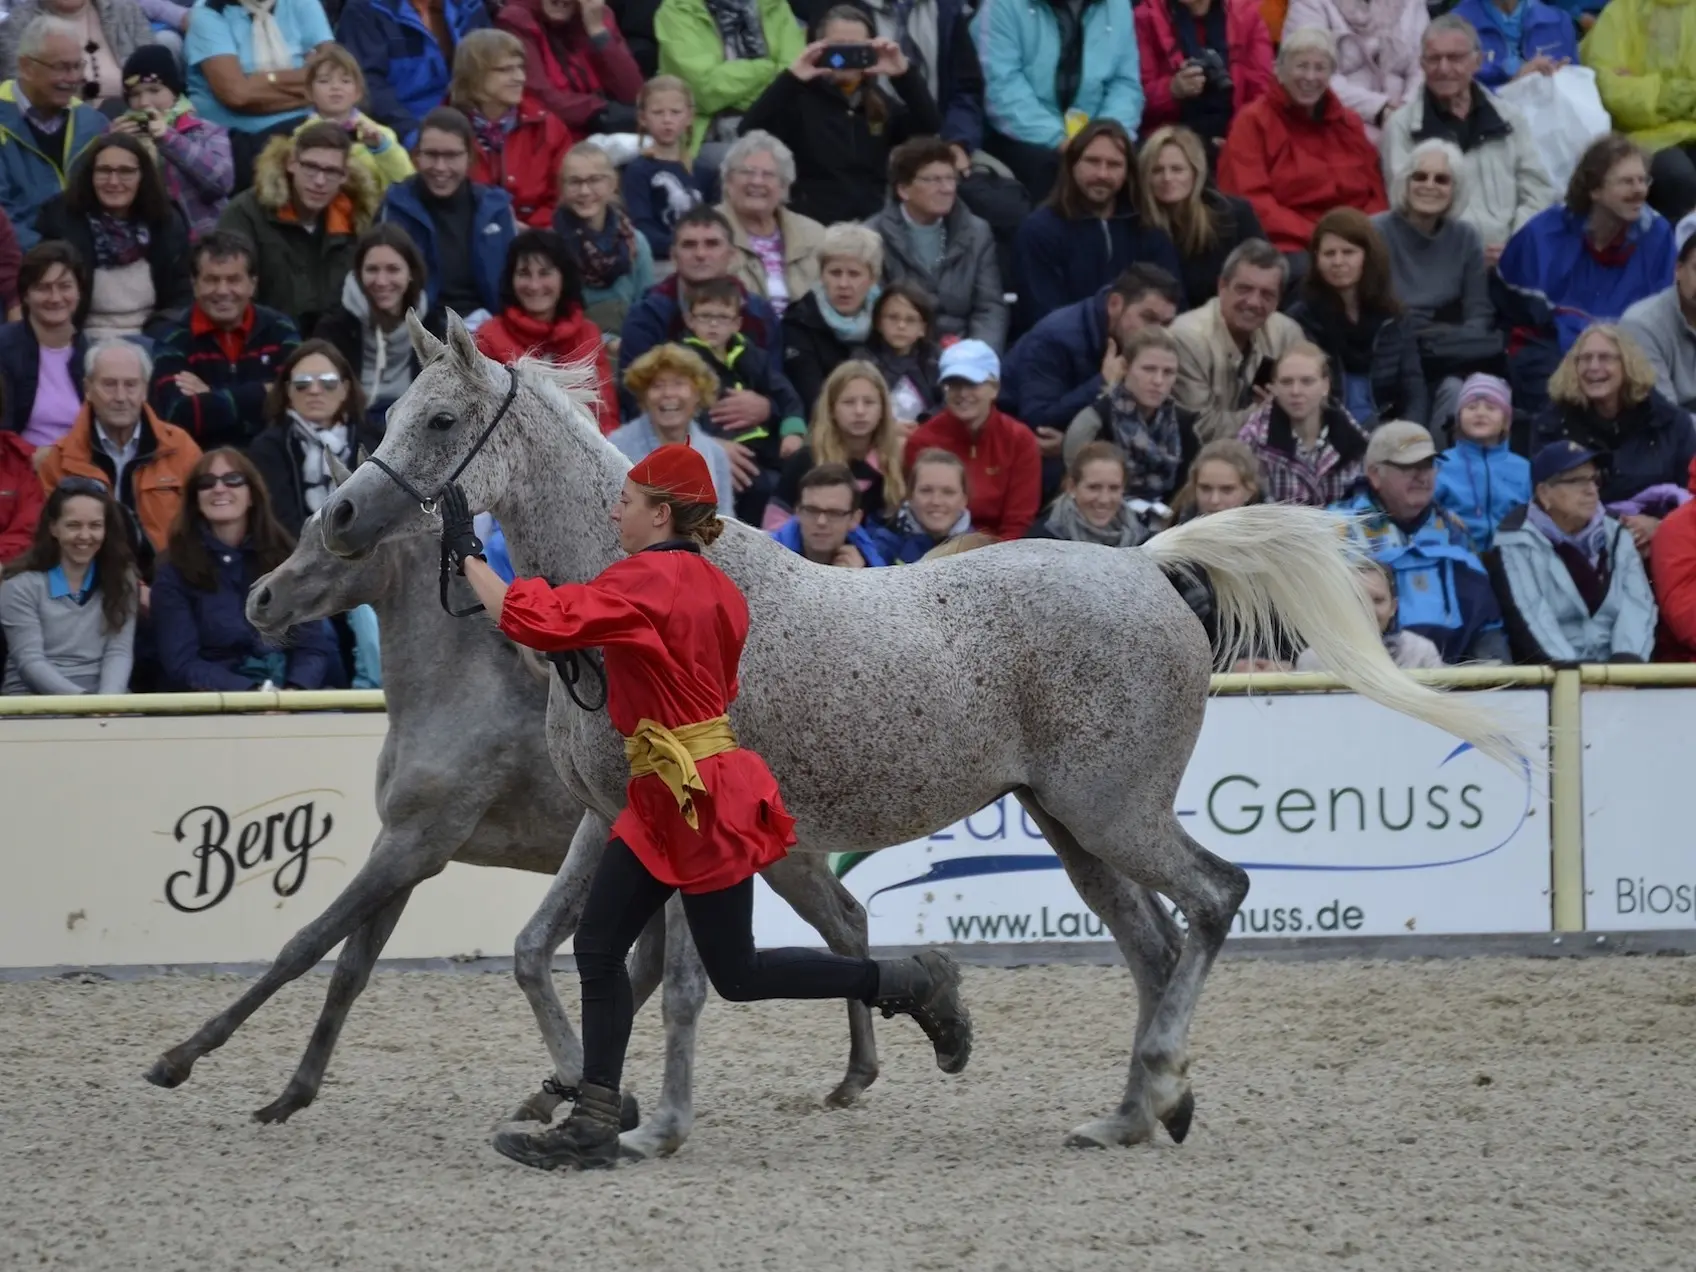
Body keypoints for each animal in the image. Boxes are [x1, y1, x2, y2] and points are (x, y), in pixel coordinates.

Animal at [140, 512, 881, 1153]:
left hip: (779, 864)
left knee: (845, 924)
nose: (260, 600)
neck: (459, 692)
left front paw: (177, 1060)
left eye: (340, 539)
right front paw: (290, 1095)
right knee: (671, 961)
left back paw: (853, 1076)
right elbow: (350, 970)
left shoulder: (414, 846)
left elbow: (303, 946)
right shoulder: (406, 853)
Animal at [315, 317, 1526, 1153]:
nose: (335, 516)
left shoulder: (683, 838)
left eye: (437, 420)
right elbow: (594, 961)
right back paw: (1124, 1116)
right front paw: (588, 1104)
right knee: (1154, 944)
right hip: (1073, 825)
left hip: (1114, 811)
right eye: (389, 408)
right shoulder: (619, 827)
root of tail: (1147, 566)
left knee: (1215, 901)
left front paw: (653, 1126)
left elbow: (684, 981)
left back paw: (1163, 1085)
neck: (627, 605)